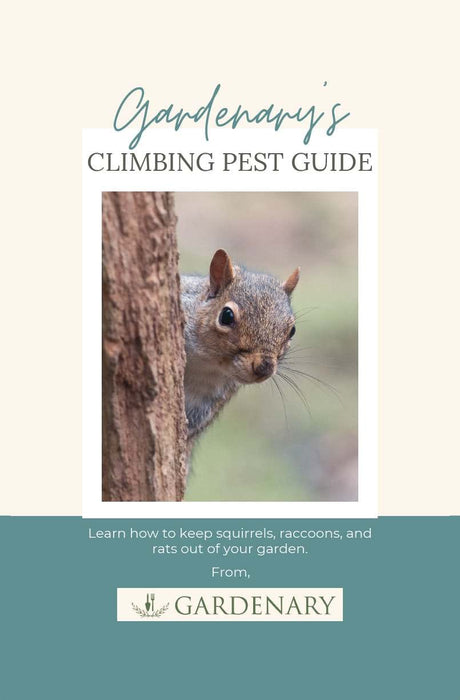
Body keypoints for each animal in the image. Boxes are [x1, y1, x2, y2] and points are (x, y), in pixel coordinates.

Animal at [181, 249, 300, 467]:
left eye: (292, 330)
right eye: (226, 316)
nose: (264, 367)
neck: (206, 362)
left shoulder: (208, 398)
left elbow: (193, 423)